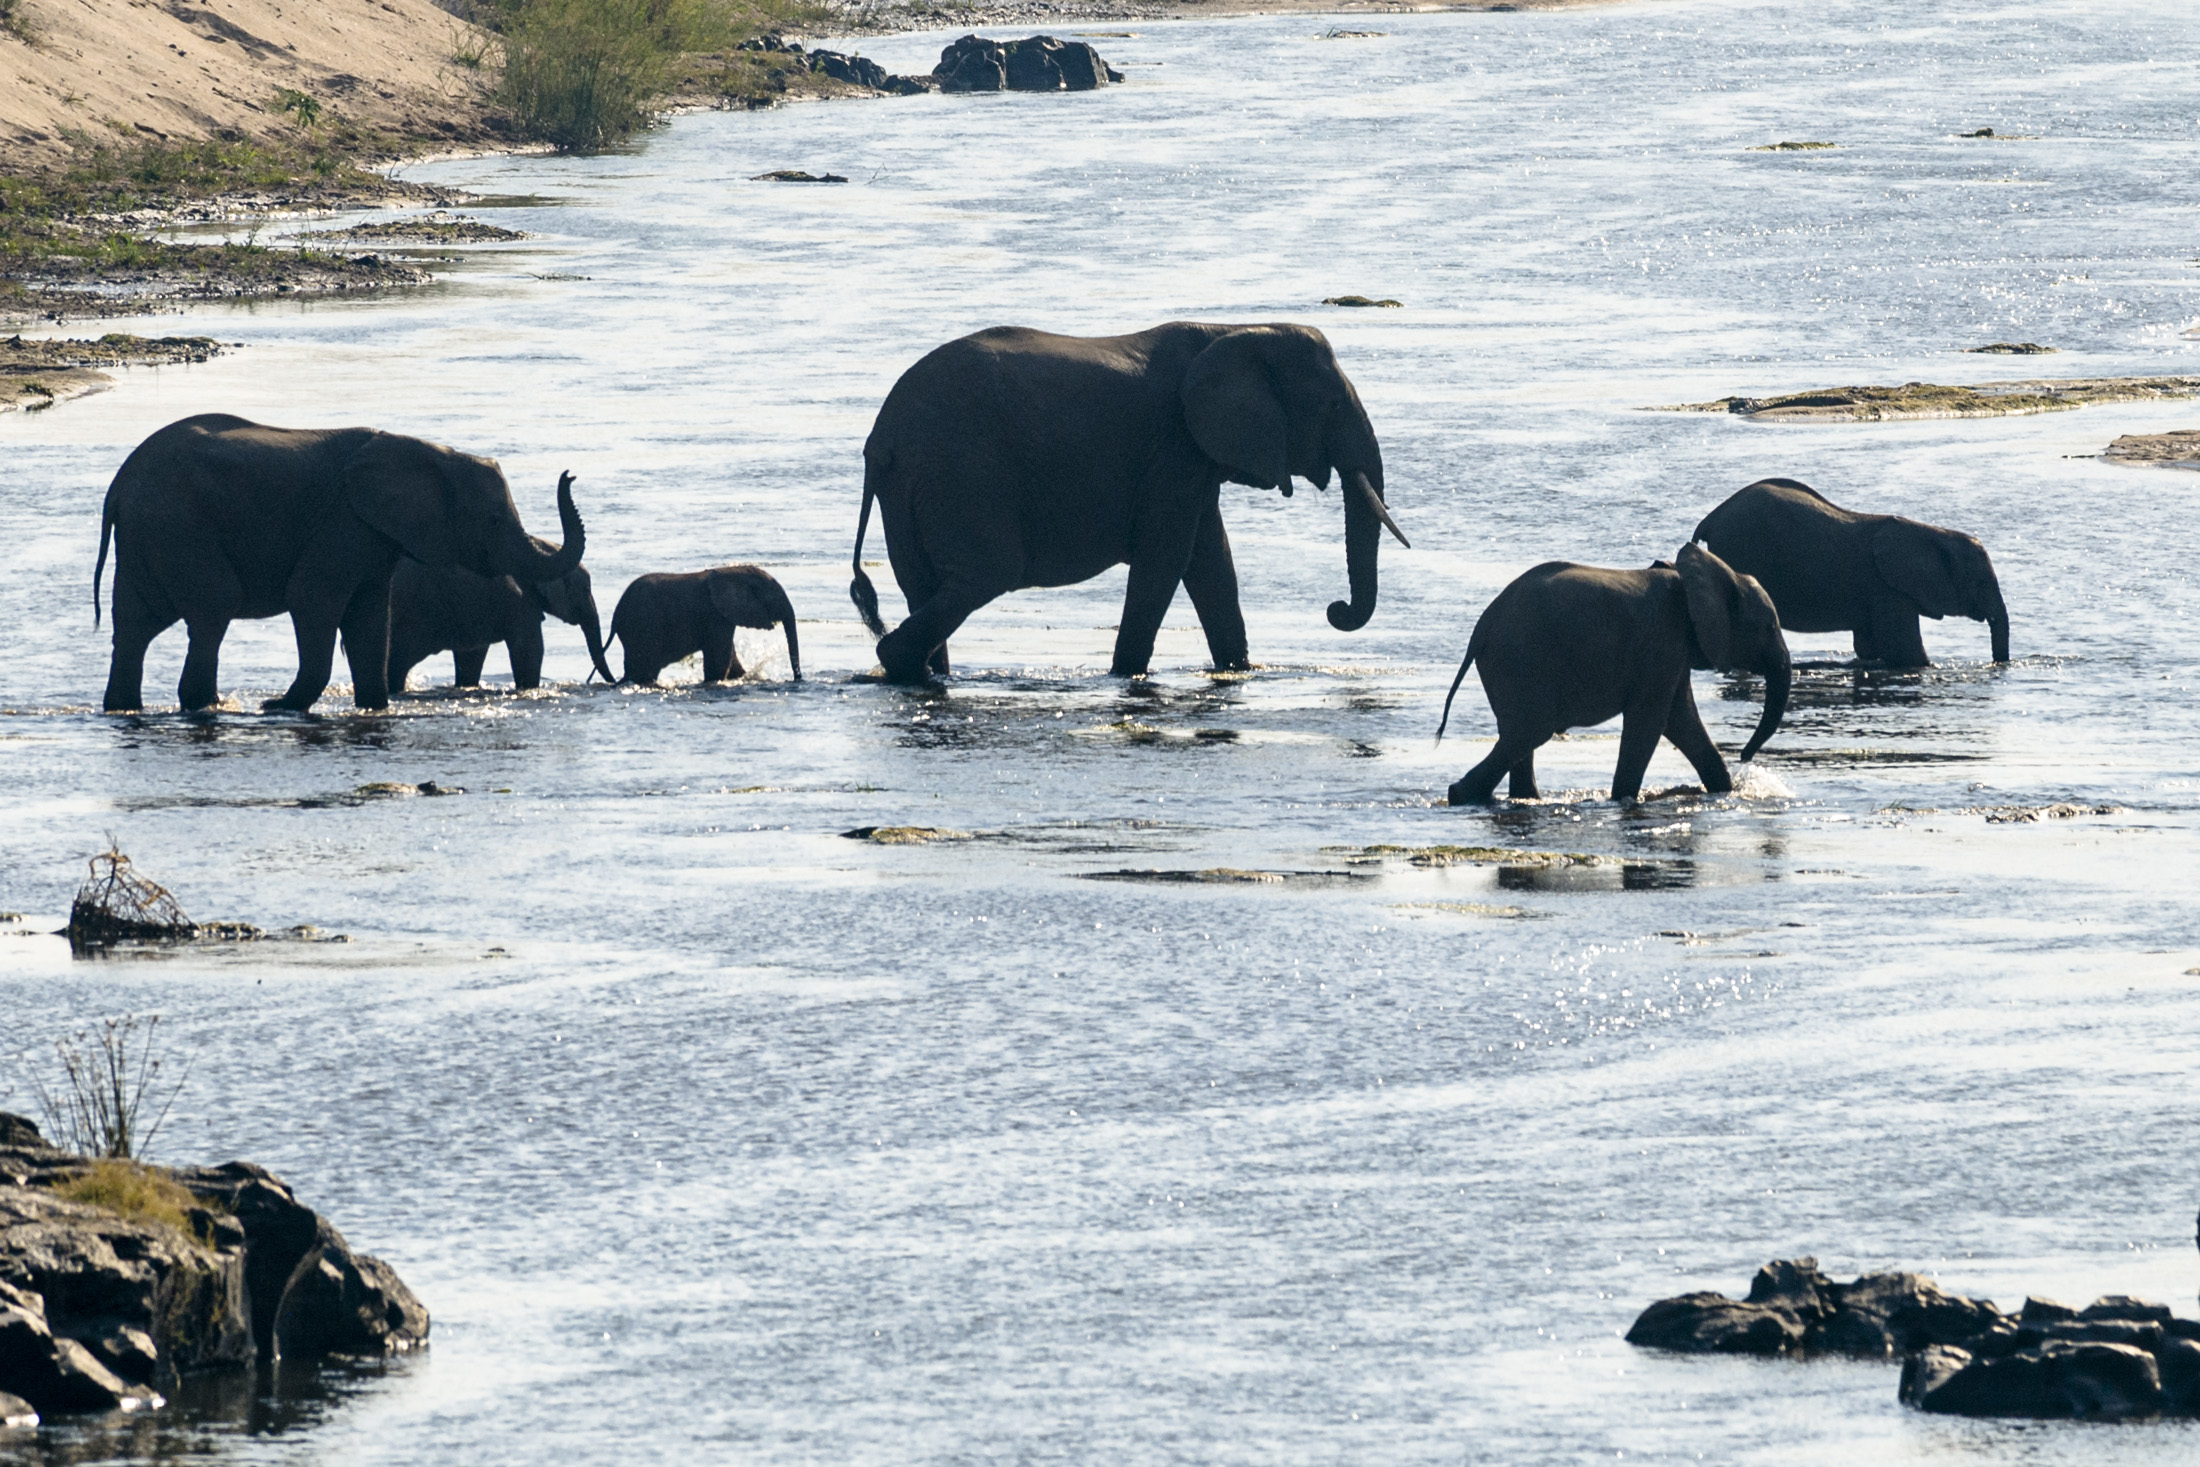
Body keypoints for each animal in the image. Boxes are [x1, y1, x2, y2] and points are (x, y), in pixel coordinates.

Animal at [96, 415, 585, 712]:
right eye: (494, 519)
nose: (570, 474)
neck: (426, 451)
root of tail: (118, 486)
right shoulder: (342, 524)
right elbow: (312, 599)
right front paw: (280, 708)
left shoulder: (374, 535)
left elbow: (370, 614)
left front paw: (375, 708)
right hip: (180, 526)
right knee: (214, 609)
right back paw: (209, 706)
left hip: (150, 536)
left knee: (134, 625)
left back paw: (126, 708)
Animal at [607, 571, 805, 690]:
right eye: (773, 597)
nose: (797, 679)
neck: (735, 573)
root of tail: (616, 617)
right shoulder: (715, 616)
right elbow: (718, 664)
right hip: (643, 628)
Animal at [849, 318, 1399, 681]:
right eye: (1332, 405)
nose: (1335, 609)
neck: (1233, 328)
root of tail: (881, 438)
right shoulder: (1174, 449)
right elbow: (1168, 559)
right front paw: (1125, 677)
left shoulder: (1191, 457)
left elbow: (1211, 563)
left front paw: (1242, 670)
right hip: (962, 475)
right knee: (984, 576)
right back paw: (907, 666)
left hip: (911, 488)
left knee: (924, 586)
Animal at [1698, 479, 2015, 668]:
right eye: (1981, 582)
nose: (1998, 666)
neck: (1933, 533)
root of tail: (1710, 519)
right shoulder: (1888, 591)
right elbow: (1906, 651)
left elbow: (1869, 648)